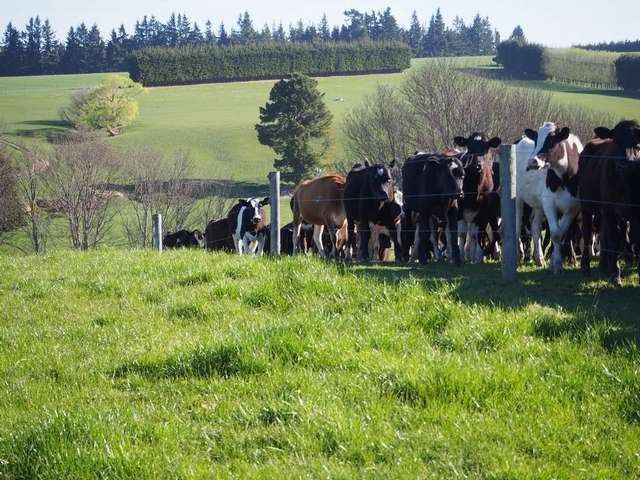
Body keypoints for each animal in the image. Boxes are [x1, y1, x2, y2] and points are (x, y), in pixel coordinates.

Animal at [516, 122, 584, 274]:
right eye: (536, 141)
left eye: (552, 141)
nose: (532, 161)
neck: (565, 178)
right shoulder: (549, 203)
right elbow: (555, 233)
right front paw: (557, 264)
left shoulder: (573, 208)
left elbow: (561, 233)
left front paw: (554, 261)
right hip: (517, 198)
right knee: (516, 226)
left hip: (538, 205)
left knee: (535, 227)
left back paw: (539, 259)